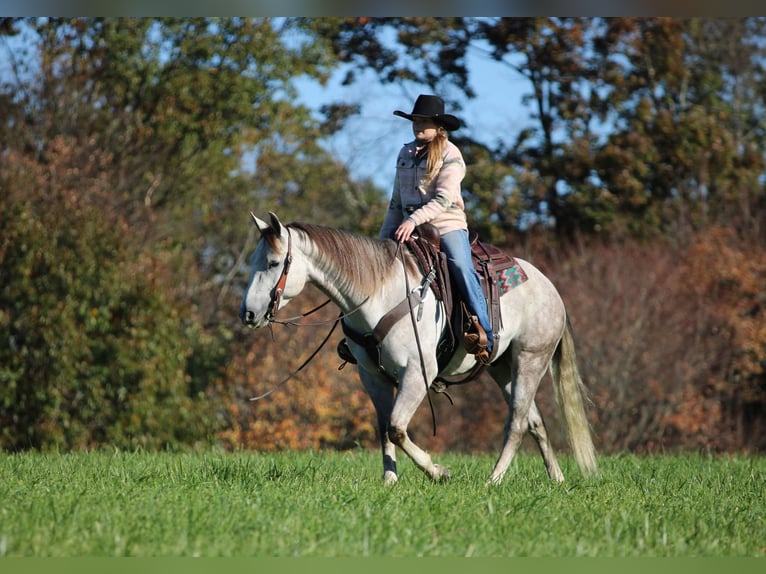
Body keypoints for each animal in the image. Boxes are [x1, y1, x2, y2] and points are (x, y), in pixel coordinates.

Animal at [239, 212, 598, 485]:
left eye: (273, 262)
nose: (248, 314)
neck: (379, 293)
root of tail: (552, 290)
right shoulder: (372, 377)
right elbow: (385, 428)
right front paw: (389, 480)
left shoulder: (416, 373)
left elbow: (398, 427)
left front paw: (437, 471)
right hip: (501, 367)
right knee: (534, 421)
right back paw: (556, 479)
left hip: (530, 360)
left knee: (518, 423)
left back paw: (493, 480)